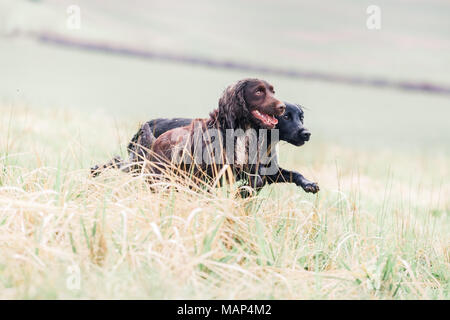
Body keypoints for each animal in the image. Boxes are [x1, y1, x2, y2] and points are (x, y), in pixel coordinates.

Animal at [90, 101, 316, 194]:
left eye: (301, 117)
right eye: (285, 116)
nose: (306, 133)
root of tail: (149, 123)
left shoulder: (268, 171)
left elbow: (292, 174)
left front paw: (309, 184)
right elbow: (255, 180)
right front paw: (244, 192)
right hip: (145, 163)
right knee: (117, 162)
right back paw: (94, 172)